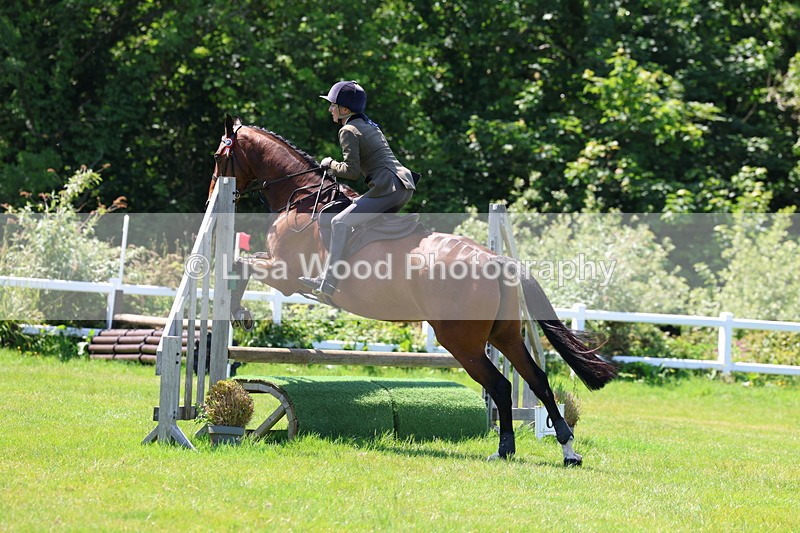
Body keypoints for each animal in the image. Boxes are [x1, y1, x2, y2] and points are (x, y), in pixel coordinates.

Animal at [210, 115, 617, 465]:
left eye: (218, 157)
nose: (212, 197)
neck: (304, 195)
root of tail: (500, 261)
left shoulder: (286, 276)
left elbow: (239, 265)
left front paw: (241, 315)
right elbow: (240, 264)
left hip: (461, 341)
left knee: (501, 386)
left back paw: (504, 450)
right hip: (505, 335)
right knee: (538, 381)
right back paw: (567, 451)